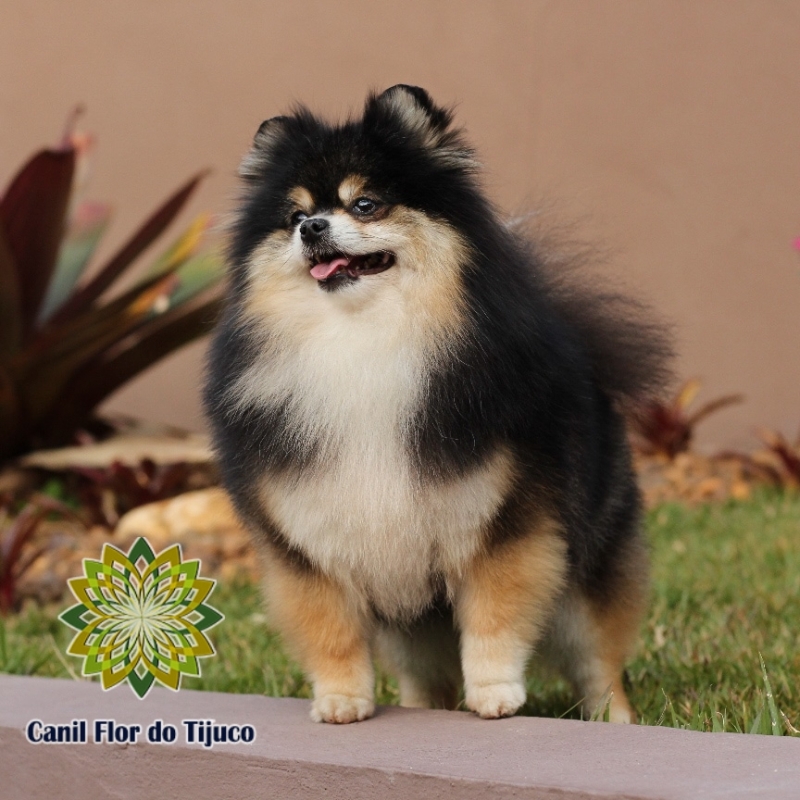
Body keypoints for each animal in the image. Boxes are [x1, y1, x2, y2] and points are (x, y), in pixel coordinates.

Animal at [202, 86, 668, 724]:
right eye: (295, 216)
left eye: (366, 204)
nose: (313, 228)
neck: (364, 343)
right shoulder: (308, 542)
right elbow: (332, 631)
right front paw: (341, 700)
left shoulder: (505, 523)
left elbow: (495, 616)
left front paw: (495, 693)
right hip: (413, 622)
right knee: (426, 680)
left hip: (585, 571)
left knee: (599, 663)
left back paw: (614, 720)